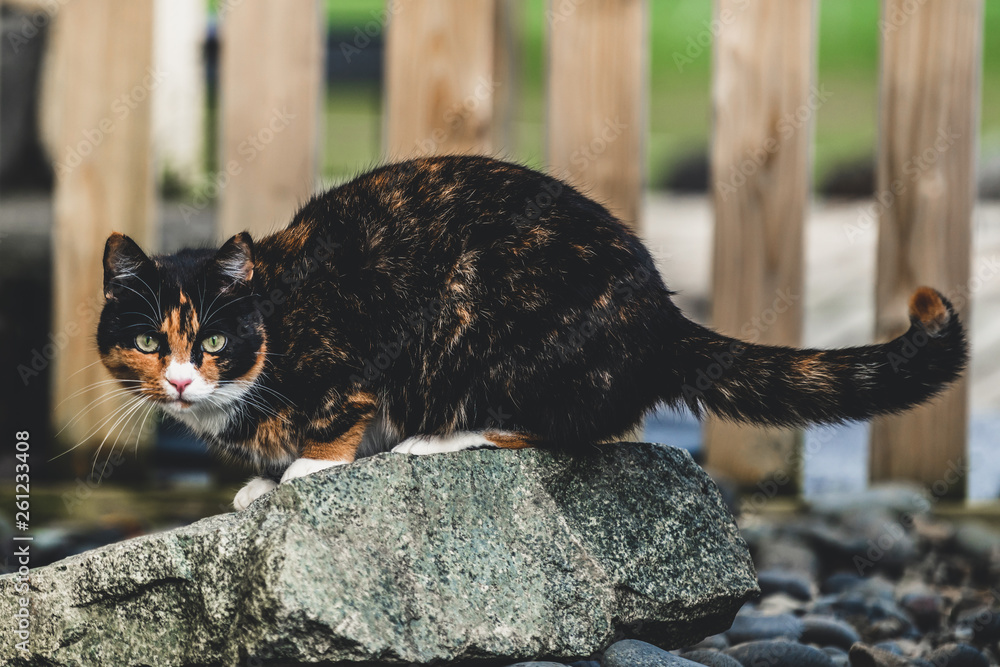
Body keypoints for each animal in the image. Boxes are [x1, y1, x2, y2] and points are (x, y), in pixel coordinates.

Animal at [97, 155, 964, 512]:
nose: (181, 378)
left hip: (488, 315)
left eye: (212, 342)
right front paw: (262, 481)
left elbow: (342, 415)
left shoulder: (362, 347)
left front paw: (303, 470)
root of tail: (660, 318)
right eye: (148, 343)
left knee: (566, 429)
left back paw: (437, 439)